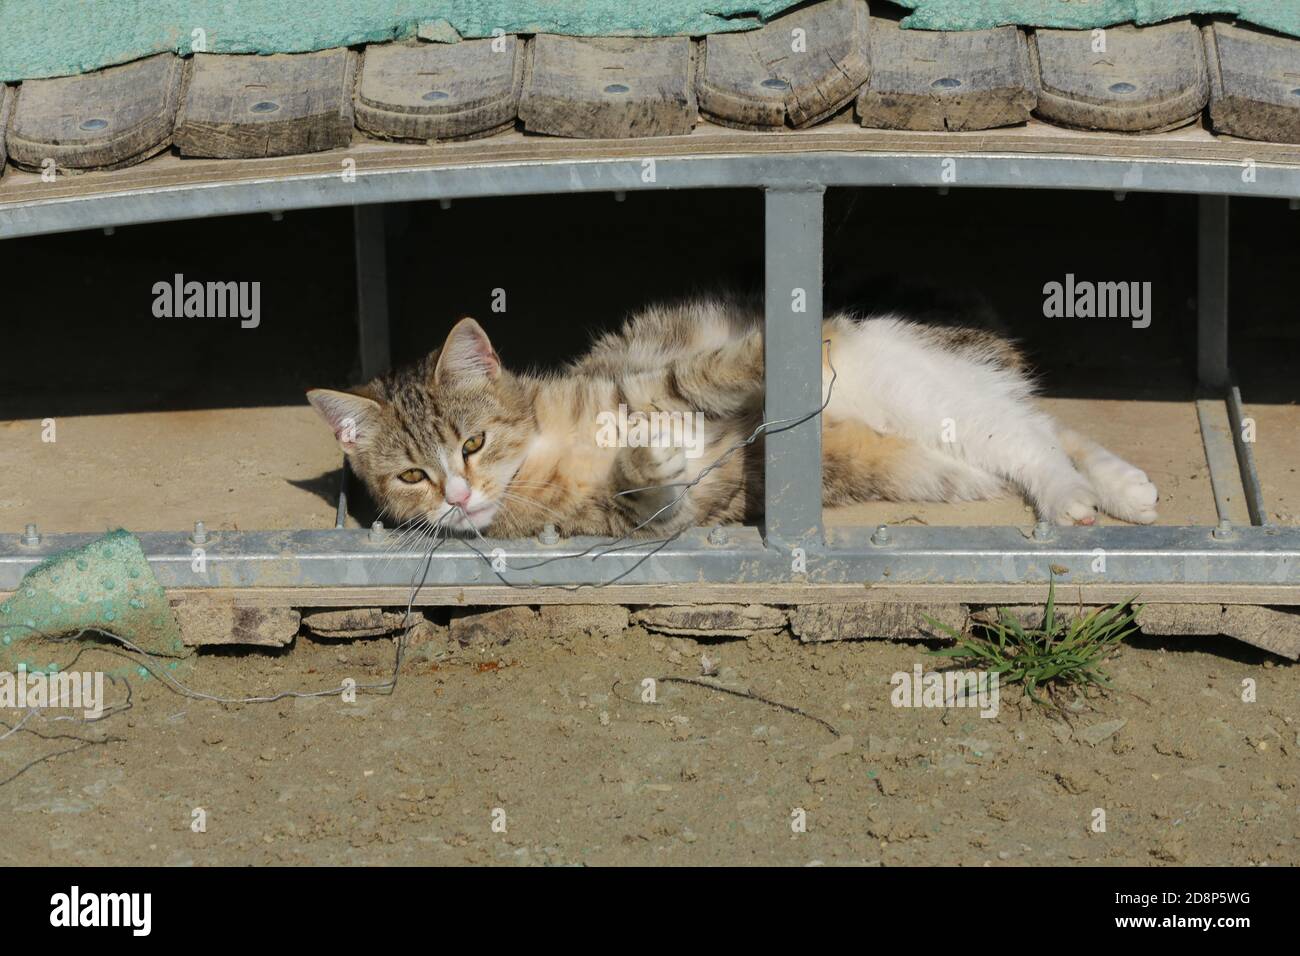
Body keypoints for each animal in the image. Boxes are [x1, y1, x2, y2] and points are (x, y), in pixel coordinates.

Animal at [309, 293, 1164, 538]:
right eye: (412, 477)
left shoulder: (644, 377)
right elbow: (642, 490)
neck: (548, 447)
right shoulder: (637, 520)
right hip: (948, 423)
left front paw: (772, 347)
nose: (457, 495)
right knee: (1037, 435)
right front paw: (645, 457)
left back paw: (1097, 492)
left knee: (1038, 434)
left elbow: (692, 375)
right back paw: (1108, 492)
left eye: (474, 442)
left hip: (930, 392)